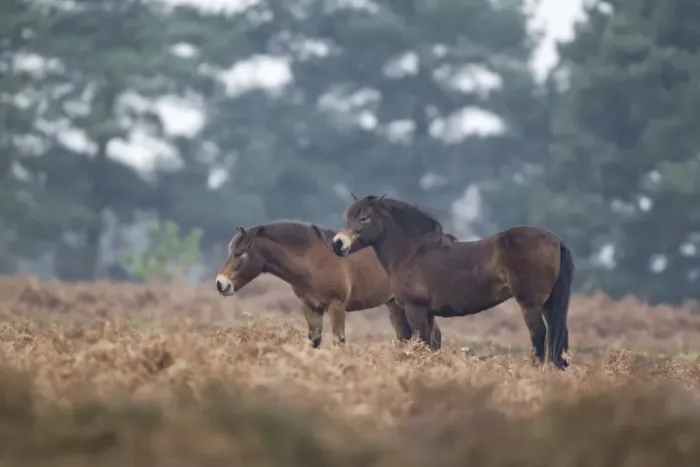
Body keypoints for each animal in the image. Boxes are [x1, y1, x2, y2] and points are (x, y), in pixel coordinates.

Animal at [214, 220, 443, 349]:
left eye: (239, 253)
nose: (220, 283)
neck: (313, 259)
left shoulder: (336, 305)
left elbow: (338, 341)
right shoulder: (310, 307)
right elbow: (314, 341)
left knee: (432, 337)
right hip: (395, 304)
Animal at [330, 194, 574, 370]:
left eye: (364, 218)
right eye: (347, 217)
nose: (338, 244)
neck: (413, 252)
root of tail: (556, 240)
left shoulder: (415, 309)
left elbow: (421, 343)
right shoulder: (428, 313)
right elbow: (431, 344)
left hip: (530, 304)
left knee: (539, 335)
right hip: (549, 304)